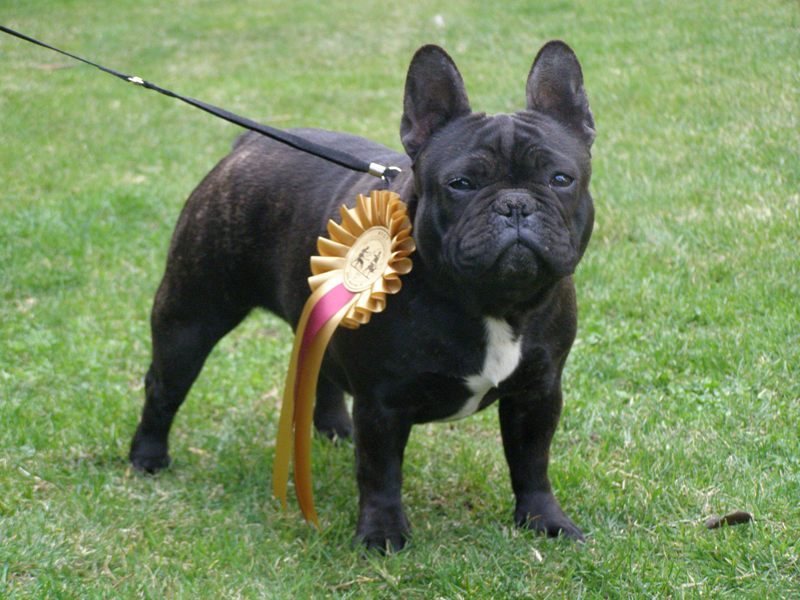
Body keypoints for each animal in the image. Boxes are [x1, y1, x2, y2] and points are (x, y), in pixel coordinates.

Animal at [129, 40, 595, 551]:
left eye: (560, 179)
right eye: (461, 184)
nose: (515, 204)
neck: (493, 304)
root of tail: (249, 145)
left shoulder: (538, 393)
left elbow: (532, 462)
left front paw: (544, 520)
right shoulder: (382, 402)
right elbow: (380, 472)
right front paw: (382, 534)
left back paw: (334, 428)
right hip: (190, 317)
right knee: (164, 385)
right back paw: (147, 457)